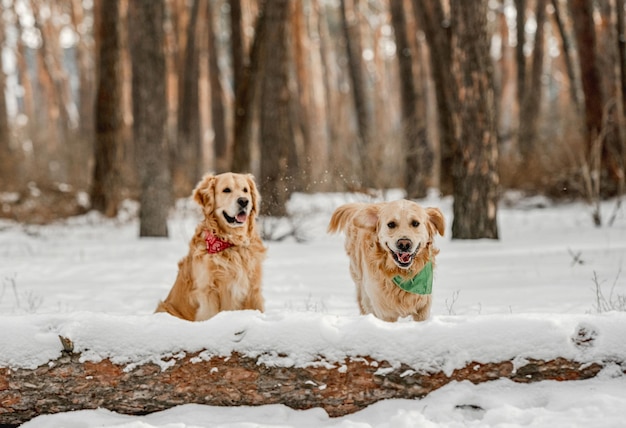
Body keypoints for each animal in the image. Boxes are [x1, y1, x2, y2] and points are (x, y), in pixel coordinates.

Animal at [156, 172, 266, 320]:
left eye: (245, 190)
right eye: (226, 190)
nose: (244, 201)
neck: (231, 243)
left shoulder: (253, 289)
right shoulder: (208, 292)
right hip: (164, 308)